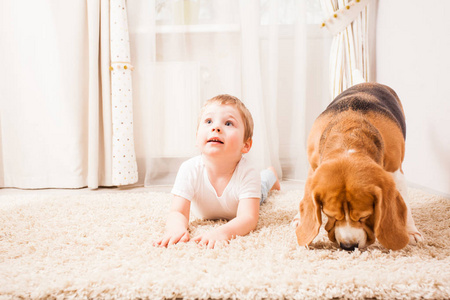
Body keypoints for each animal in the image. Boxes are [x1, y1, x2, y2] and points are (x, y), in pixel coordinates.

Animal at [294, 82, 424, 251]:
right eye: (330, 215)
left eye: (365, 216)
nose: (348, 246)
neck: (349, 136)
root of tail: (371, 83)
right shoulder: (314, 166)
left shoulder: (396, 171)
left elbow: (405, 204)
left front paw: (410, 231)